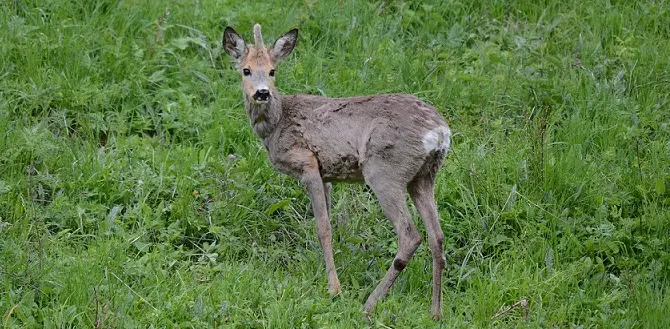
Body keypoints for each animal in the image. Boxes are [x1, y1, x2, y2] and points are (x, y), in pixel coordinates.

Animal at [224, 23, 452, 318]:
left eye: (273, 70)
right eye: (246, 70)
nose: (262, 92)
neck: (276, 125)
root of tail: (440, 133)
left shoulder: (308, 163)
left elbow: (323, 226)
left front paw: (334, 288)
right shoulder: (327, 175)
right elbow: (329, 221)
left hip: (384, 171)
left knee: (410, 235)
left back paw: (369, 304)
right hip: (424, 177)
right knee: (437, 237)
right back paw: (435, 312)